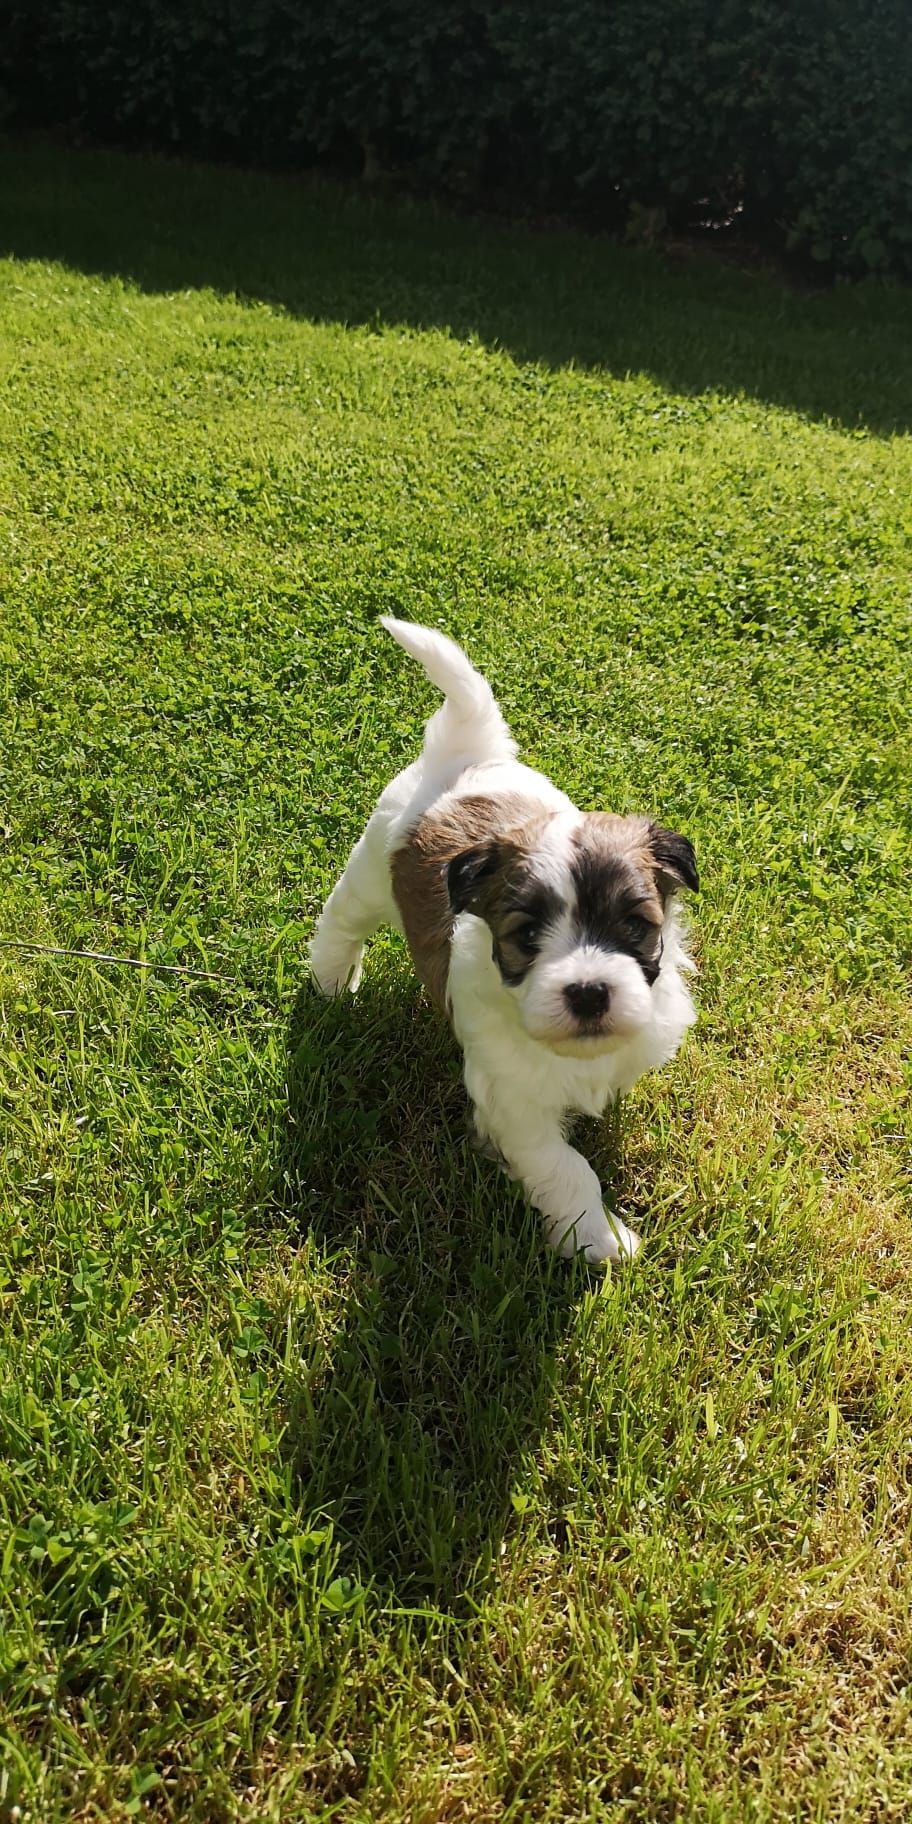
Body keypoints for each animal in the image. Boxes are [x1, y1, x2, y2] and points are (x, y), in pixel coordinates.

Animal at [309, 619, 698, 1264]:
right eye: (527, 935)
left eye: (636, 926)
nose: (589, 992)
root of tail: (469, 755)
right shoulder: (515, 1102)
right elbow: (566, 1166)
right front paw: (598, 1238)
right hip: (369, 873)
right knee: (341, 922)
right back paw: (331, 983)